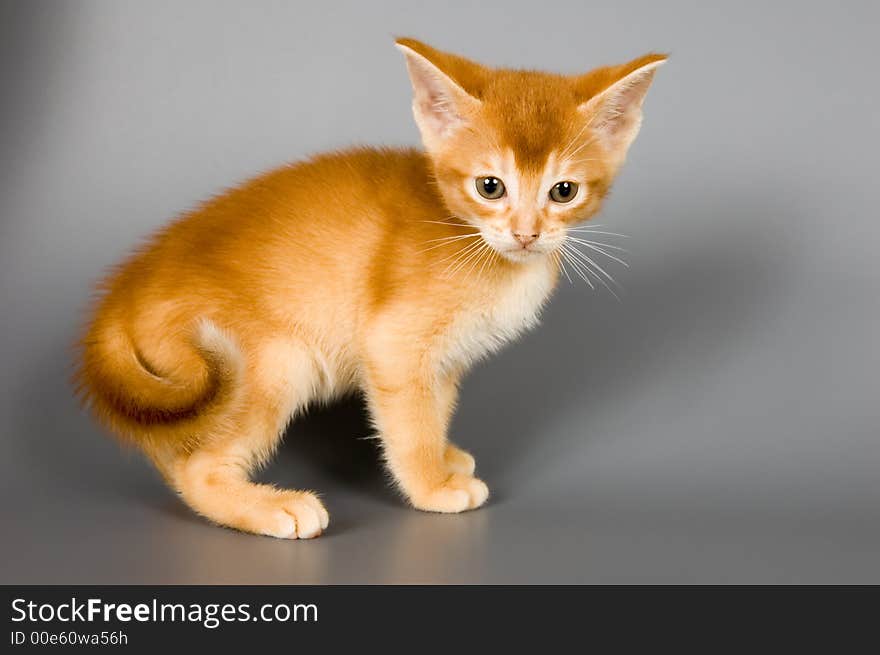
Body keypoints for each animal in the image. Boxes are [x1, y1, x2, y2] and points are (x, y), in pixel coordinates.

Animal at [77, 38, 668, 540]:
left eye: (564, 191)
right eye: (490, 186)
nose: (527, 233)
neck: (475, 244)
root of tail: (124, 289)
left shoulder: (443, 361)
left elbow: (435, 410)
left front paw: (445, 459)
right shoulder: (393, 344)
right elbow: (410, 426)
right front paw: (432, 487)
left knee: (172, 450)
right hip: (273, 363)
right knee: (196, 466)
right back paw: (274, 508)